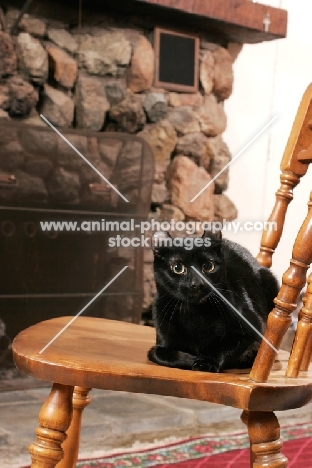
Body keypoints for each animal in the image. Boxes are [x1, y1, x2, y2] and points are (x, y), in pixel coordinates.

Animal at [147, 230, 280, 372]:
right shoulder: (161, 344)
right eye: (178, 268)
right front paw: (193, 359)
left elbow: (225, 346)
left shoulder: (254, 329)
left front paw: (206, 361)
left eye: (208, 266)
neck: (195, 312)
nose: (197, 283)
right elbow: (158, 354)